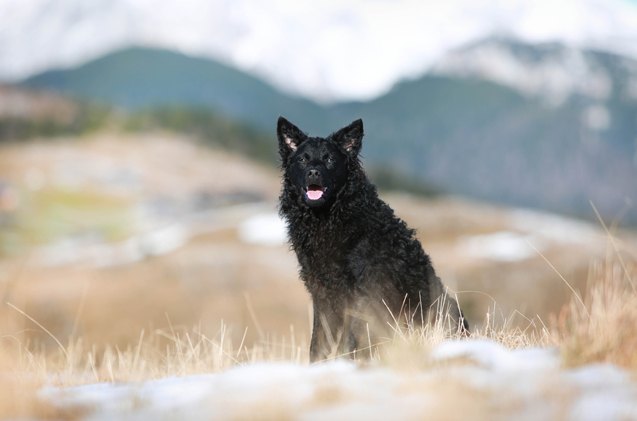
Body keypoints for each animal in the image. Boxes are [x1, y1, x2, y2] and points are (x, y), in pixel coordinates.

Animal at [276, 116, 464, 360]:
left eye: (329, 159)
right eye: (302, 159)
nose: (314, 173)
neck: (330, 217)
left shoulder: (364, 291)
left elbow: (351, 338)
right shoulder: (321, 291)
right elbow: (318, 341)